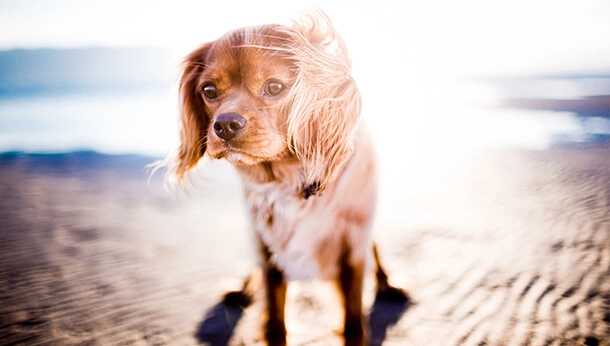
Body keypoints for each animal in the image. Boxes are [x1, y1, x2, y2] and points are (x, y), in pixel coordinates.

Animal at [164, 10, 406, 346]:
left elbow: (354, 322)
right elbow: (275, 321)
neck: (289, 179)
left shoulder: (352, 250)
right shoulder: (268, 253)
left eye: (275, 87)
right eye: (209, 91)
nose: (224, 125)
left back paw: (388, 285)